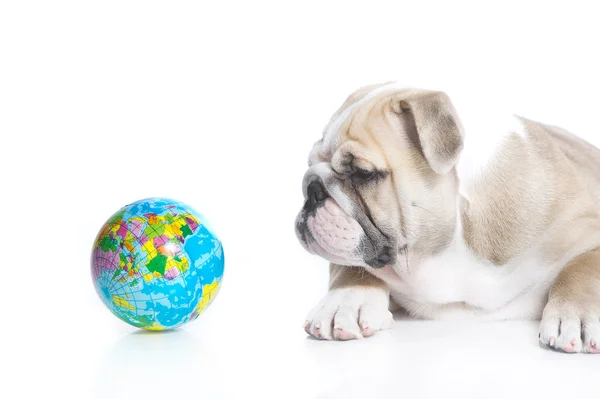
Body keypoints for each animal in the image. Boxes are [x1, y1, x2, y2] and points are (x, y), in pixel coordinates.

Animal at [296, 82, 600, 354]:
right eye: (309, 163)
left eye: (362, 173)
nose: (311, 189)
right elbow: (351, 266)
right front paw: (344, 302)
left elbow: (581, 267)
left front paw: (576, 317)